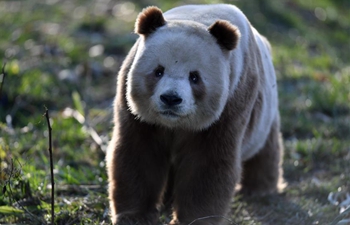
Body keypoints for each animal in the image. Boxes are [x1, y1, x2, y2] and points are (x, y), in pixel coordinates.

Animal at [106, 3, 284, 225]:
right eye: (158, 71)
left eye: (194, 77)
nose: (171, 98)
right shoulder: (134, 107)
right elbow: (139, 153)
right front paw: (134, 217)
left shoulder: (231, 104)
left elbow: (207, 164)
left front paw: (193, 219)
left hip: (265, 112)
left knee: (265, 149)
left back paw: (259, 189)